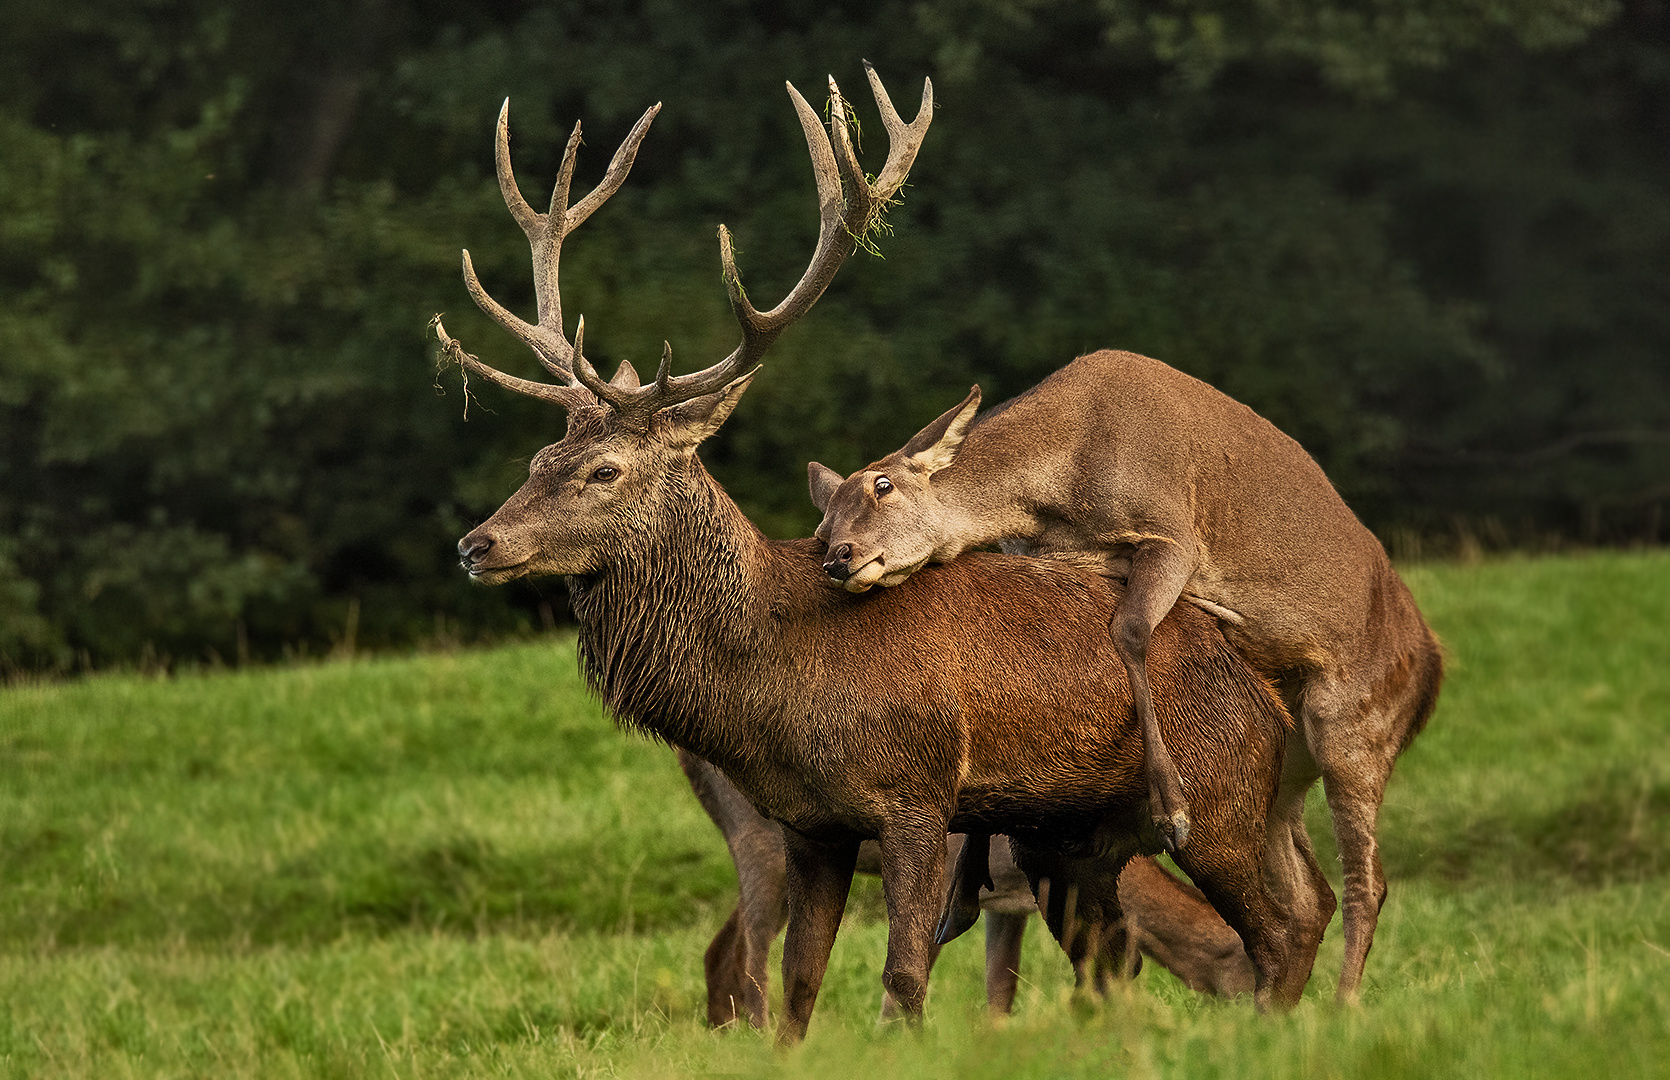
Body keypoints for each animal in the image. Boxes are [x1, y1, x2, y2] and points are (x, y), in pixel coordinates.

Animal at [437, 65, 1322, 1041]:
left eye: (603, 470)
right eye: (535, 461)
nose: (476, 543)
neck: (776, 673)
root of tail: (1269, 691)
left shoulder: (915, 795)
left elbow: (904, 980)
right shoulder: (808, 825)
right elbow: (799, 987)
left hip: (1221, 794)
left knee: (1284, 928)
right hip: (1089, 834)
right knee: (1163, 945)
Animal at [811, 357, 1449, 1008]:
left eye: (882, 486)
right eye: (823, 521)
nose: (838, 557)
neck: (1060, 492)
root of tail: (1432, 668)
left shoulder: (1172, 533)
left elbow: (1132, 634)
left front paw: (1172, 809)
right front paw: (962, 891)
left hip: (1356, 724)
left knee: (1367, 882)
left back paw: (1345, 1005)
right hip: (1289, 764)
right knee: (1309, 894)